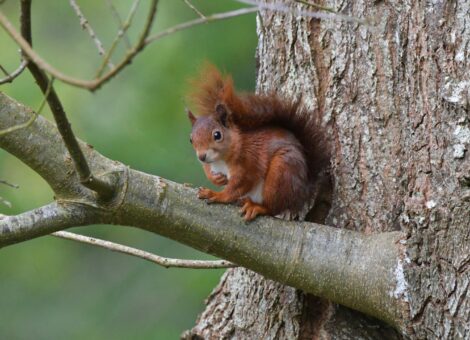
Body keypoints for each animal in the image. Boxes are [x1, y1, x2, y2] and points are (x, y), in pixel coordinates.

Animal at [185, 65, 328, 222]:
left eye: (217, 135)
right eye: (191, 139)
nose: (202, 156)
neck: (221, 160)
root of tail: (303, 191)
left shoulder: (249, 164)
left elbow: (237, 187)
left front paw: (216, 195)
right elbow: (208, 170)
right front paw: (216, 179)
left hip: (281, 173)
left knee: (273, 208)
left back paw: (256, 207)